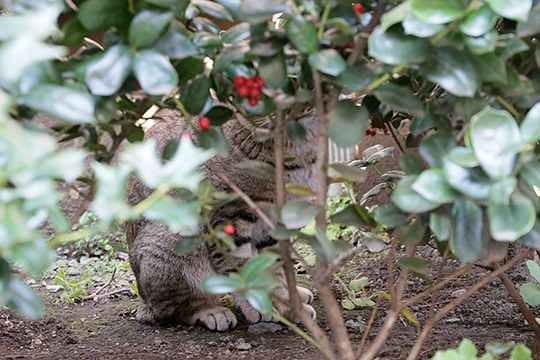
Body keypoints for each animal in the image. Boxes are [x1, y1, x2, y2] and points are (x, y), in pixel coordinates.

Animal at [124, 108, 318, 330]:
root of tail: (144, 301)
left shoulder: (274, 224)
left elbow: (273, 268)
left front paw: (287, 307)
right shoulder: (228, 217)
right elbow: (241, 266)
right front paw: (259, 304)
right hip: (172, 238)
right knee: (170, 310)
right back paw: (209, 311)